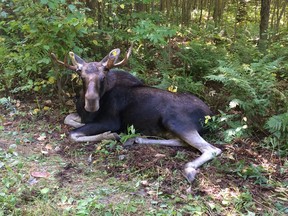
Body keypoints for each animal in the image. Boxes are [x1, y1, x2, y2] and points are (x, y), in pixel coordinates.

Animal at [51, 46, 223, 182]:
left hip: (176, 122)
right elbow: (68, 119)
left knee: (211, 149)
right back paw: (137, 139)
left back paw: (188, 168)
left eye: (103, 76)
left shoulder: (110, 122)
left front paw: (109, 135)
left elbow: (73, 134)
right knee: (181, 142)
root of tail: (210, 115)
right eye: (81, 75)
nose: (91, 103)